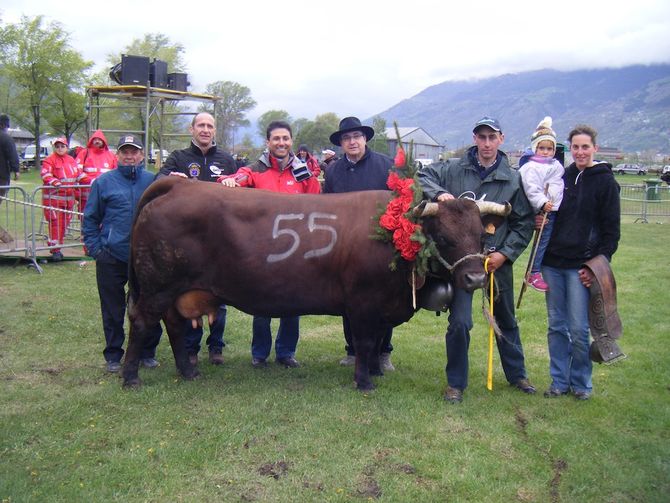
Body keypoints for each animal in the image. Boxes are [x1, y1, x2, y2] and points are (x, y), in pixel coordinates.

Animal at [124, 177, 510, 390]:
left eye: (480, 235)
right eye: (443, 237)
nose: (476, 277)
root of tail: (180, 184)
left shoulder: (380, 307)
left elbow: (375, 343)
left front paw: (374, 372)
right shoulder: (364, 303)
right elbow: (366, 341)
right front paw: (364, 382)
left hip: (174, 291)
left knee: (174, 325)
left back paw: (189, 372)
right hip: (158, 287)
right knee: (142, 322)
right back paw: (130, 378)